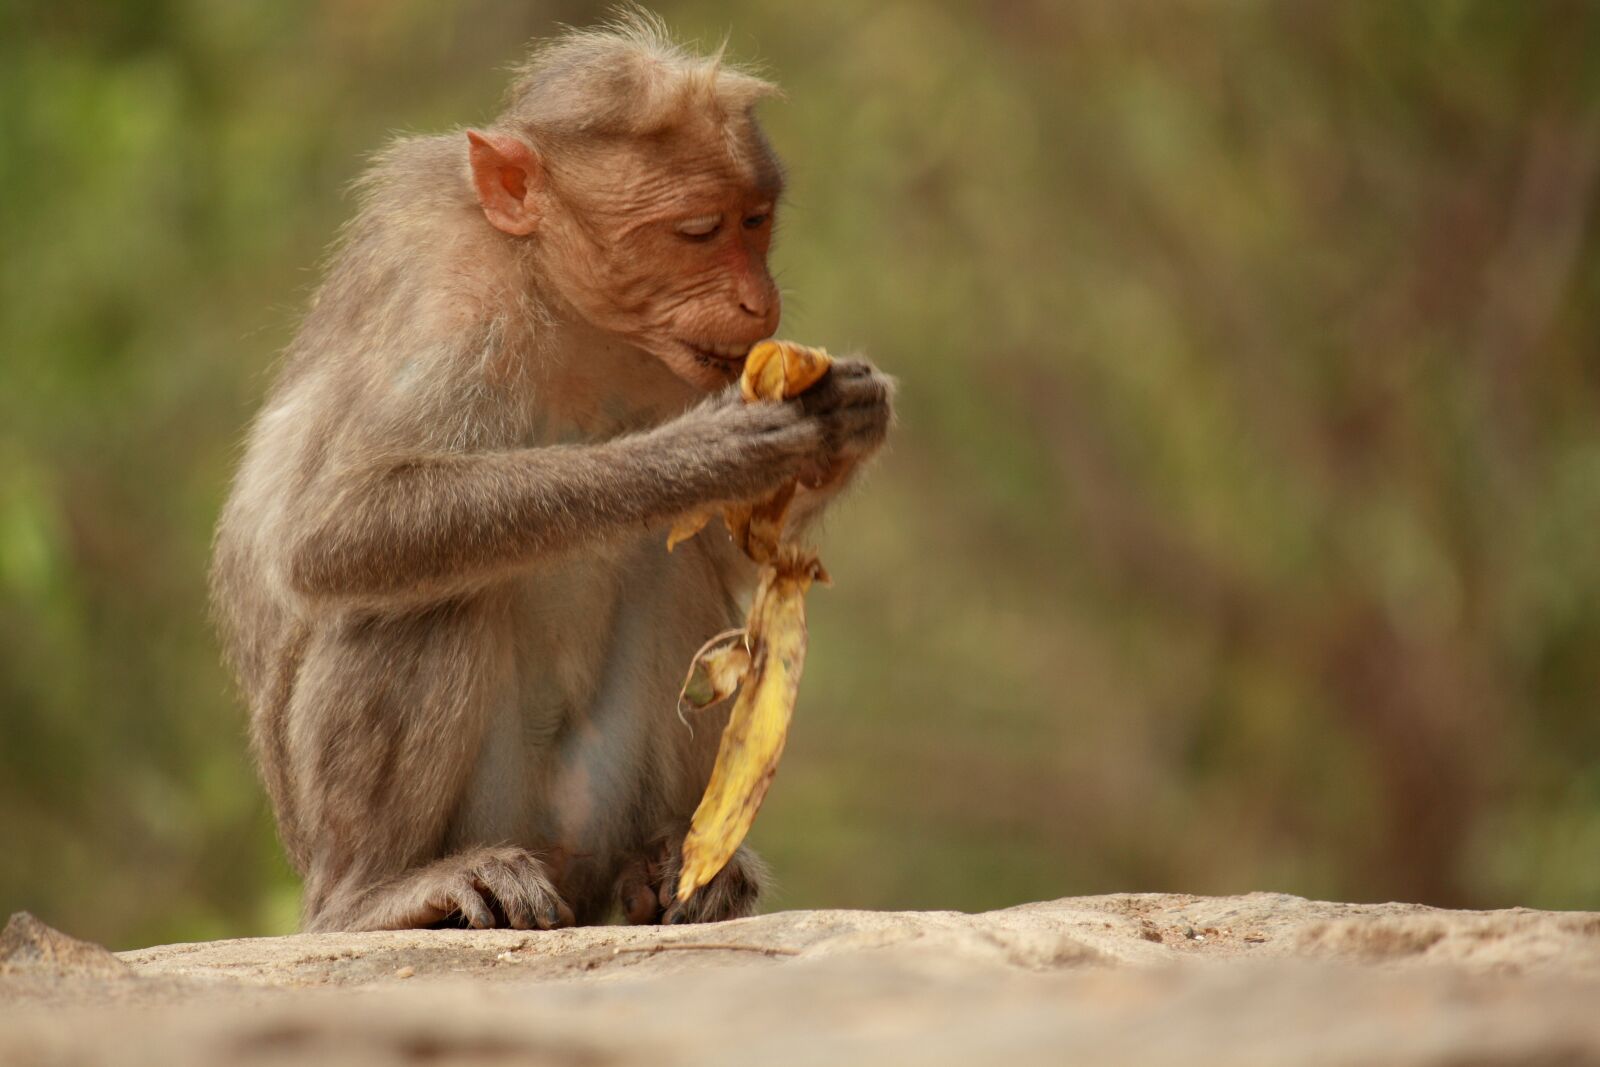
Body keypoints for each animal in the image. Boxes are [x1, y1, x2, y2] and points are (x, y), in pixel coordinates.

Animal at [209, 16, 892, 932]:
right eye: (699, 230)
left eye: (756, 221)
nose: (760, 302)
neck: (571, 310)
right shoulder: (453, 301)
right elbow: (335, 528)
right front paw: (706, 455)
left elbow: (723, 549)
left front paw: (850, 416)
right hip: (463, 819)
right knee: (417, 600)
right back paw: (378, 892)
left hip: (597, 805)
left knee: (671, 579)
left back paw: (671, 868)